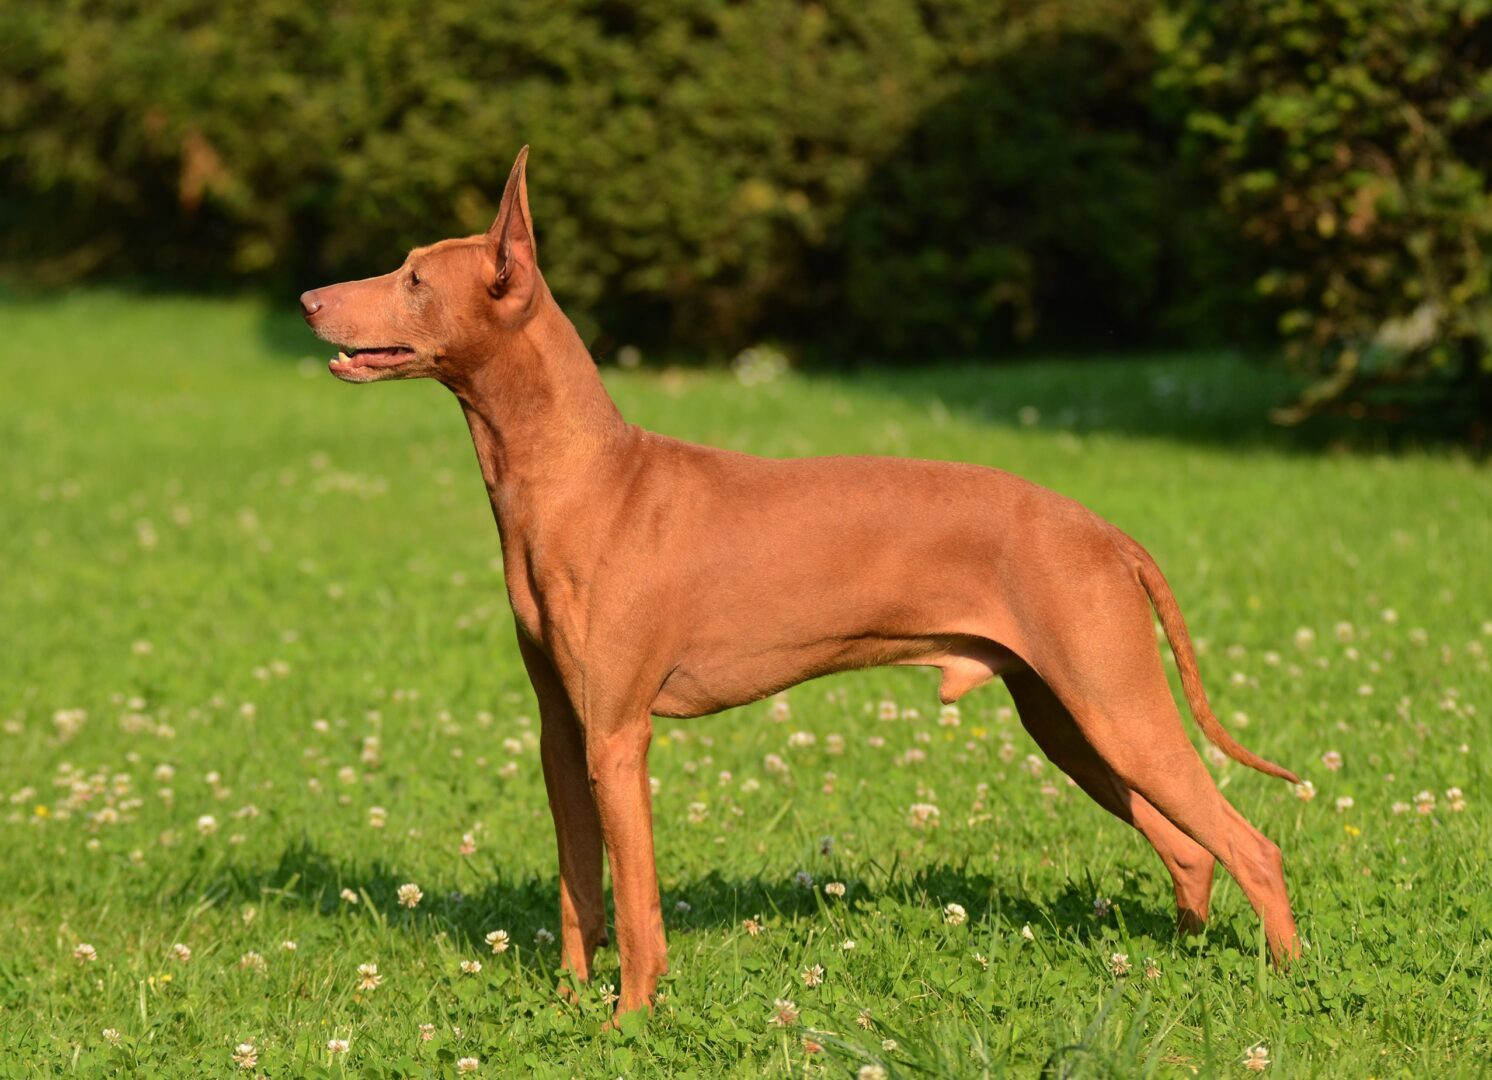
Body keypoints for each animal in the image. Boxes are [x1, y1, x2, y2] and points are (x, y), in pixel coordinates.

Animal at [296, 145, 1301, 1020]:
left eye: (414, 279)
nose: (307, 299)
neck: (583, 477)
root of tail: (1104, 531)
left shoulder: (618, 736)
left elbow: (636, 905)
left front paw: (629, 1022)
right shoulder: (562, 734)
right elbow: (580, 893)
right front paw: (571, 1006)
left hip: (1116, 711)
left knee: (1252, 846)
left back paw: (1287, 984)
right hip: (1071, 725)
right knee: (1191, 854)